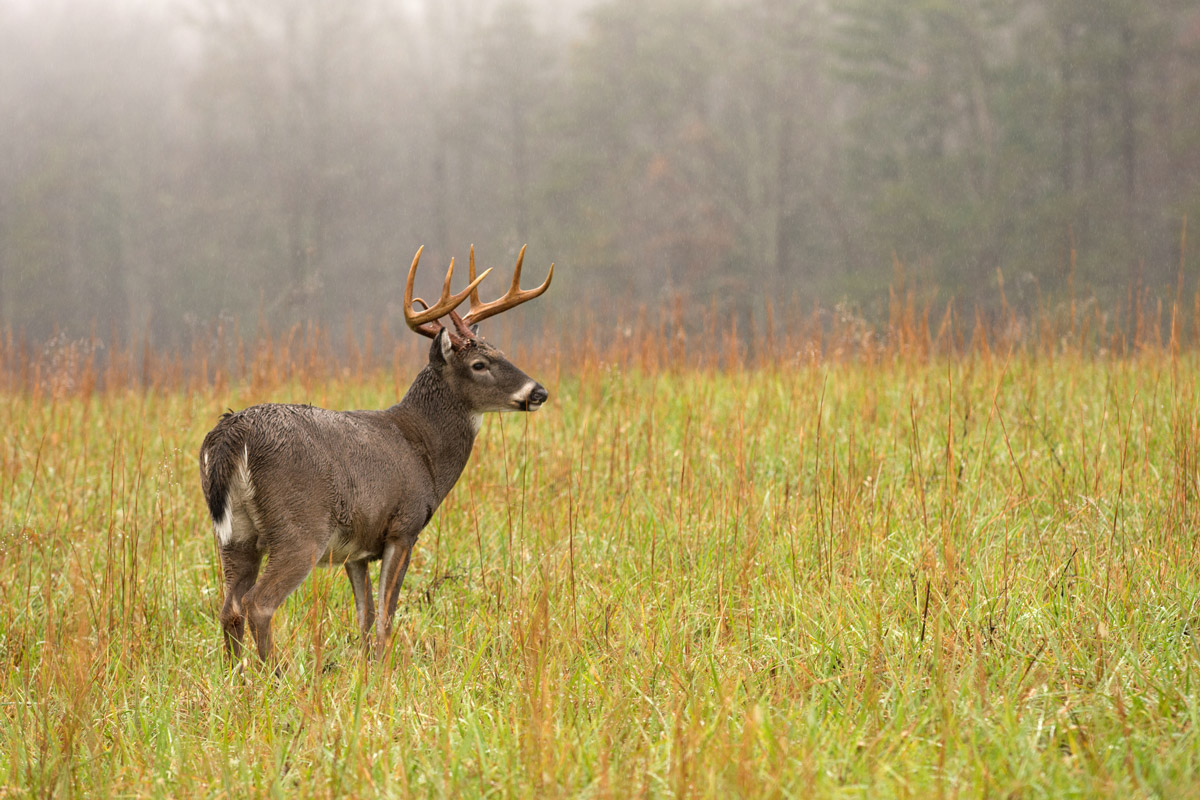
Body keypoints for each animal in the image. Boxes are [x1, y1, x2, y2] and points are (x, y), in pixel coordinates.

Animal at [198, 244, 552, 662]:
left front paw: (366, 666)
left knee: (230, 608)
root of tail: (231, 433)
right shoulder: (403, 526)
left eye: (501, 351)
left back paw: (237, 674)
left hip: (235, 534)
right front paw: (384, 667)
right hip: (299, 528)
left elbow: (365, 617)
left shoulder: (358, 550)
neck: (424, 451)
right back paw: (275, 672)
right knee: (259, 604)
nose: (539, 392)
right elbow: (385, 616)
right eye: (479, 364)